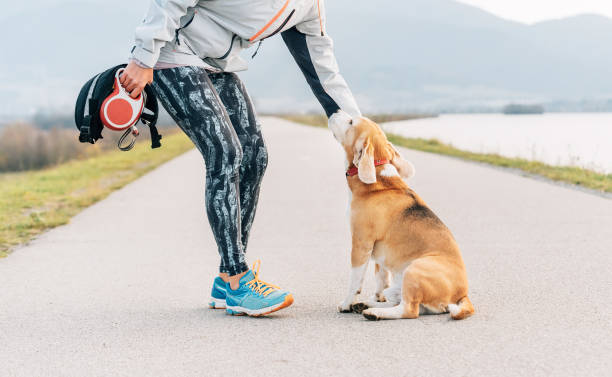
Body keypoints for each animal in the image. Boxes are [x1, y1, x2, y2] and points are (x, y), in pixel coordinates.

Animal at [330, 111, 474, 320]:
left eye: (351, 122)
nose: (335, 111)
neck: (378, 176)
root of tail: (463, 294)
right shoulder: (379, 254)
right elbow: (381, 279)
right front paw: (372, 298)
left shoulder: (361, 244)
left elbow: (355, 281)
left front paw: (346, 304)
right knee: (400, 301)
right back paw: (368, 304)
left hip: (414, 270)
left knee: (409, 310)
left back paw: (373, 312)